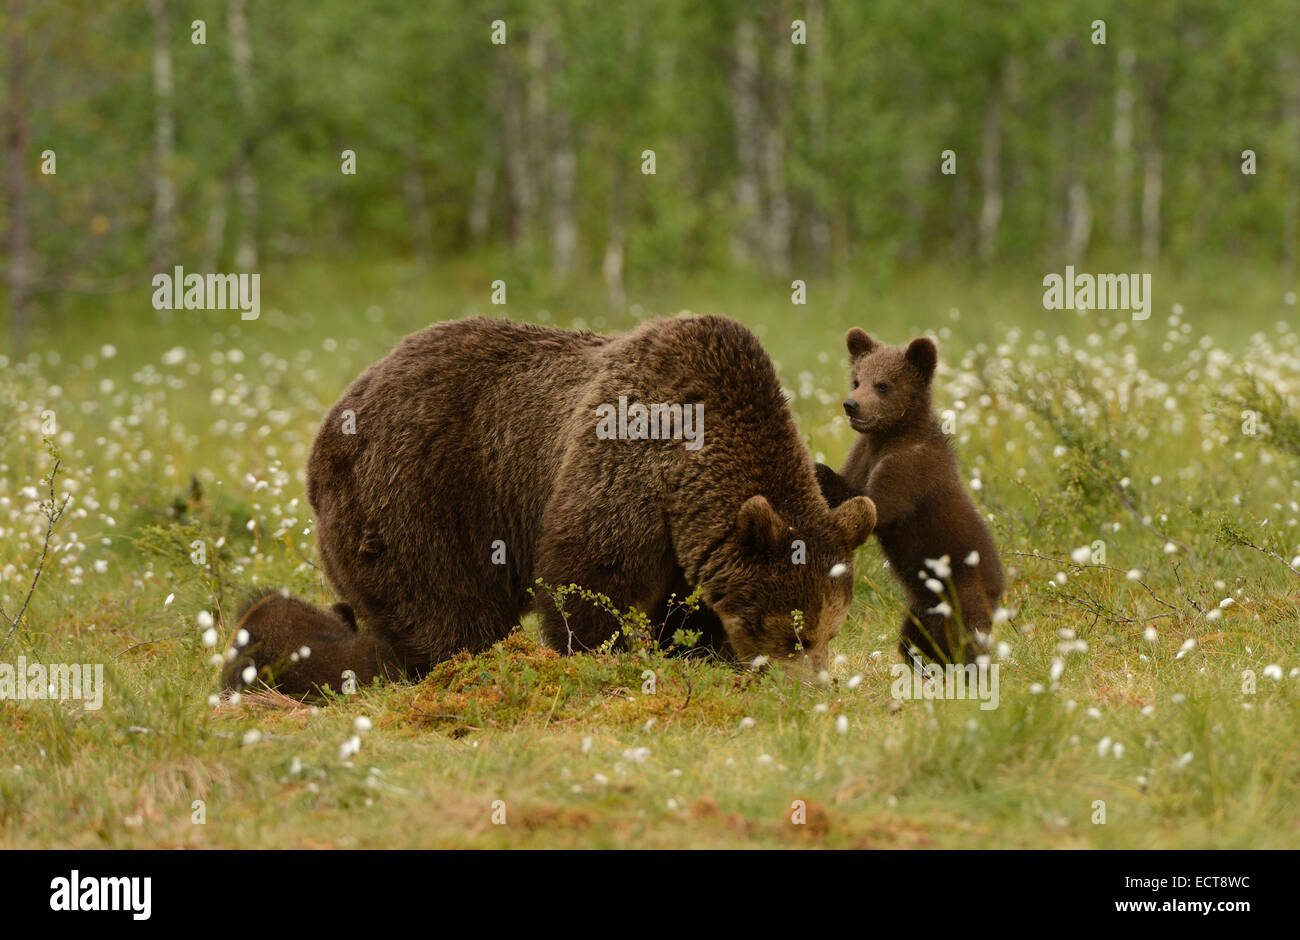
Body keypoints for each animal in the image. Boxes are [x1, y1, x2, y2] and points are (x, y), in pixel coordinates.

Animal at [223, 314, 877, 696]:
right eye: (795, 634)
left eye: (830, 630)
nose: (813, 687)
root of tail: (331, 422)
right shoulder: (625, 463)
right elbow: (586, 575)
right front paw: (594, 659)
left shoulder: (685, 534)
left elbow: (685, 608)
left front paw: (704, 655)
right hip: (417, 497)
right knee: (445, 611)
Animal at [814, 327, 1003, 665]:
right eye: (856, 380)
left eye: (883, 385)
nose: (851, 404)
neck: (890, 435)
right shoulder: (862, 457)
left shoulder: (910, 468)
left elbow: (878, 505)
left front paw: (819, 469)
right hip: (923, 607)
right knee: (914, 641)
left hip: (964, 594)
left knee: (965, 638)